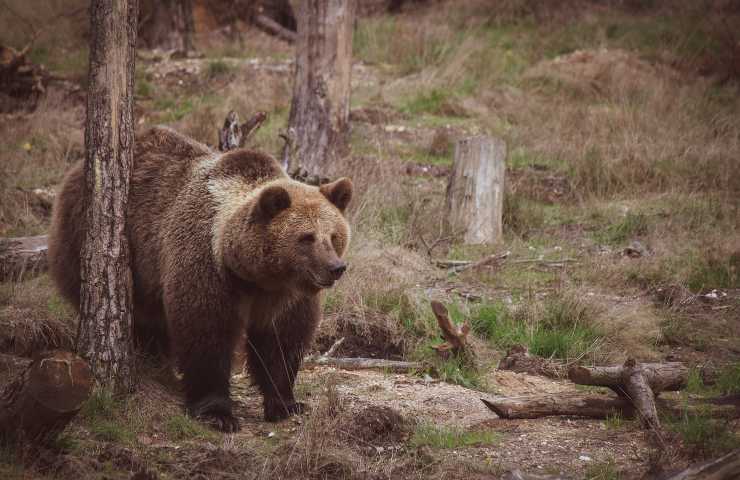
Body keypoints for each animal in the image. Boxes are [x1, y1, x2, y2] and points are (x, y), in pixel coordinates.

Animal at [49, 126, 352, 432]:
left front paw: (286, 403)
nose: (336, 267)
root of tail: (76, 170)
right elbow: (205, 330)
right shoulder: (206, 264)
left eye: (334, 236)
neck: (254, 275)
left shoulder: (285, 295)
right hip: (95, 240)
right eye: (306, 238)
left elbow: (282, 341)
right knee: (142, 316)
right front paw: (217, 412)